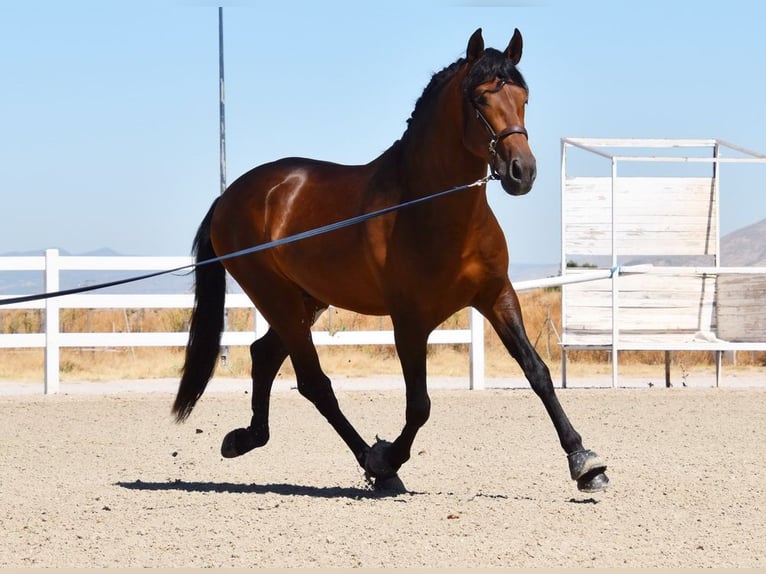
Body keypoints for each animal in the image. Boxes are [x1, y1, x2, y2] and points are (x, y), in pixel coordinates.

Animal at [174, 28, 612, 496]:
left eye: (524, 96)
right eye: (480, 99)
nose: (521, 172)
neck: (431, 209)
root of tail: (230, 196)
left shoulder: (497, 296)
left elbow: (537, 372)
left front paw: (585, 462)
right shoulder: (409, 321)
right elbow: (419, 404)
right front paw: (388, 457)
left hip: (306, 300)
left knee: (264, 356)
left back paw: (246, 438)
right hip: (277, 299)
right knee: (314, 383)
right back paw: (374, 465)